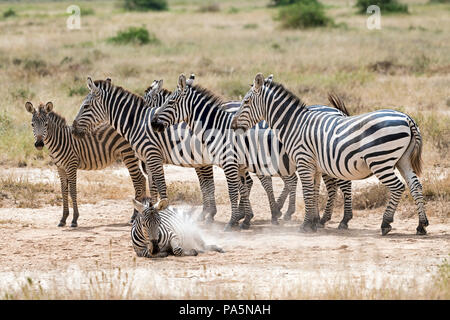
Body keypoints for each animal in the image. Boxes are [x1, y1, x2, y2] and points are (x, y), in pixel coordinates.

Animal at [71, 77, 253, 228]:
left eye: (86, 106)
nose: (73, 129)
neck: (137, 123)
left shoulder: (153, 156)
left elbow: (161, 186)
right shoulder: (149, 159)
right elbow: (153, 188)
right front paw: (150, 211)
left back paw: (243, 217)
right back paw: (244, 217)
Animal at [151, 75, 356, 230]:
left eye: (170, 102)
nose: (152, 123)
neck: (217, 127)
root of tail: (338, 112)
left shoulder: (228, 163)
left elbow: (231, 191)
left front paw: (232, 221)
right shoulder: (240, 165)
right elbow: (242, 188)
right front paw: (245, 219)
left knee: (342, 184)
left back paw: (342, 219)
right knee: (324, 186)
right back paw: (318, 219)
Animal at [230, 74, 428, 236]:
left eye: (246, 102)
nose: (232, 125)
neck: (294, 124)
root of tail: (407, 118)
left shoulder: (303, 162)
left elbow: (308, 193)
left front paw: (305, 225)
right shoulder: (315, 166)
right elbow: (314, 192)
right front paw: (314, 222)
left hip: (381, 160)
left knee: (398, 187)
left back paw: (385, 223)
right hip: (403, 160)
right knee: (415, 185)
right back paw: (421, 225)